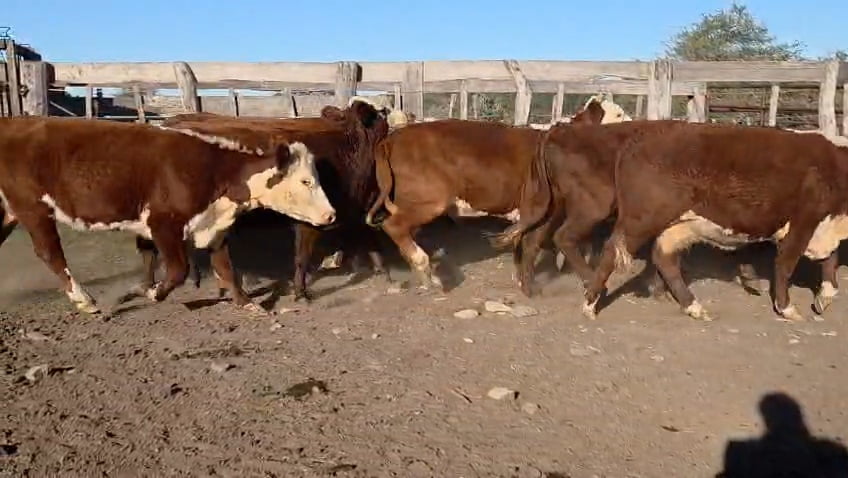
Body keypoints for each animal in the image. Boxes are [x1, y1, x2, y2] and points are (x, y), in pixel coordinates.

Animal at [0, 116, 335, 315]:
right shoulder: (162, 223)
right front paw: (154, 293)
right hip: (32, 208)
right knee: (50, 252)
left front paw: (246, 303)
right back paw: (84, 299)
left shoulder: (213, 227)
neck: (214, 170)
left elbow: (226, 268)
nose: (331, 215)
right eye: (306, 181)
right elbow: (178, 269)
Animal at [135, 97, 402, 303]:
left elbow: (370, 241)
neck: (348, 147)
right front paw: (301, 293)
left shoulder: (351, 210)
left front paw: (387, 275)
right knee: (149, 249)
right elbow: (302, 257)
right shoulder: (312, 219)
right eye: (381, 121)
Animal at [363, 95, 630, 291]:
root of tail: (392, 139)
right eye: (618, 114)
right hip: (430, 200)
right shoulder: (545, 210)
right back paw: (424, 267)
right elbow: (533, 242)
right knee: (394, 226)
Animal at [580, 123, 848, 322]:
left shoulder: (824, 228)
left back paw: (693, 306)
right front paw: (787, 308)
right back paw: (589, 305)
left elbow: (830, 259)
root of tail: (639, 140)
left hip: (677, 225)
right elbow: (786, 265)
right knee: (611, 252)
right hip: (641, 219)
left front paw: (824, 296)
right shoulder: (804, 222)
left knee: (664, 259)